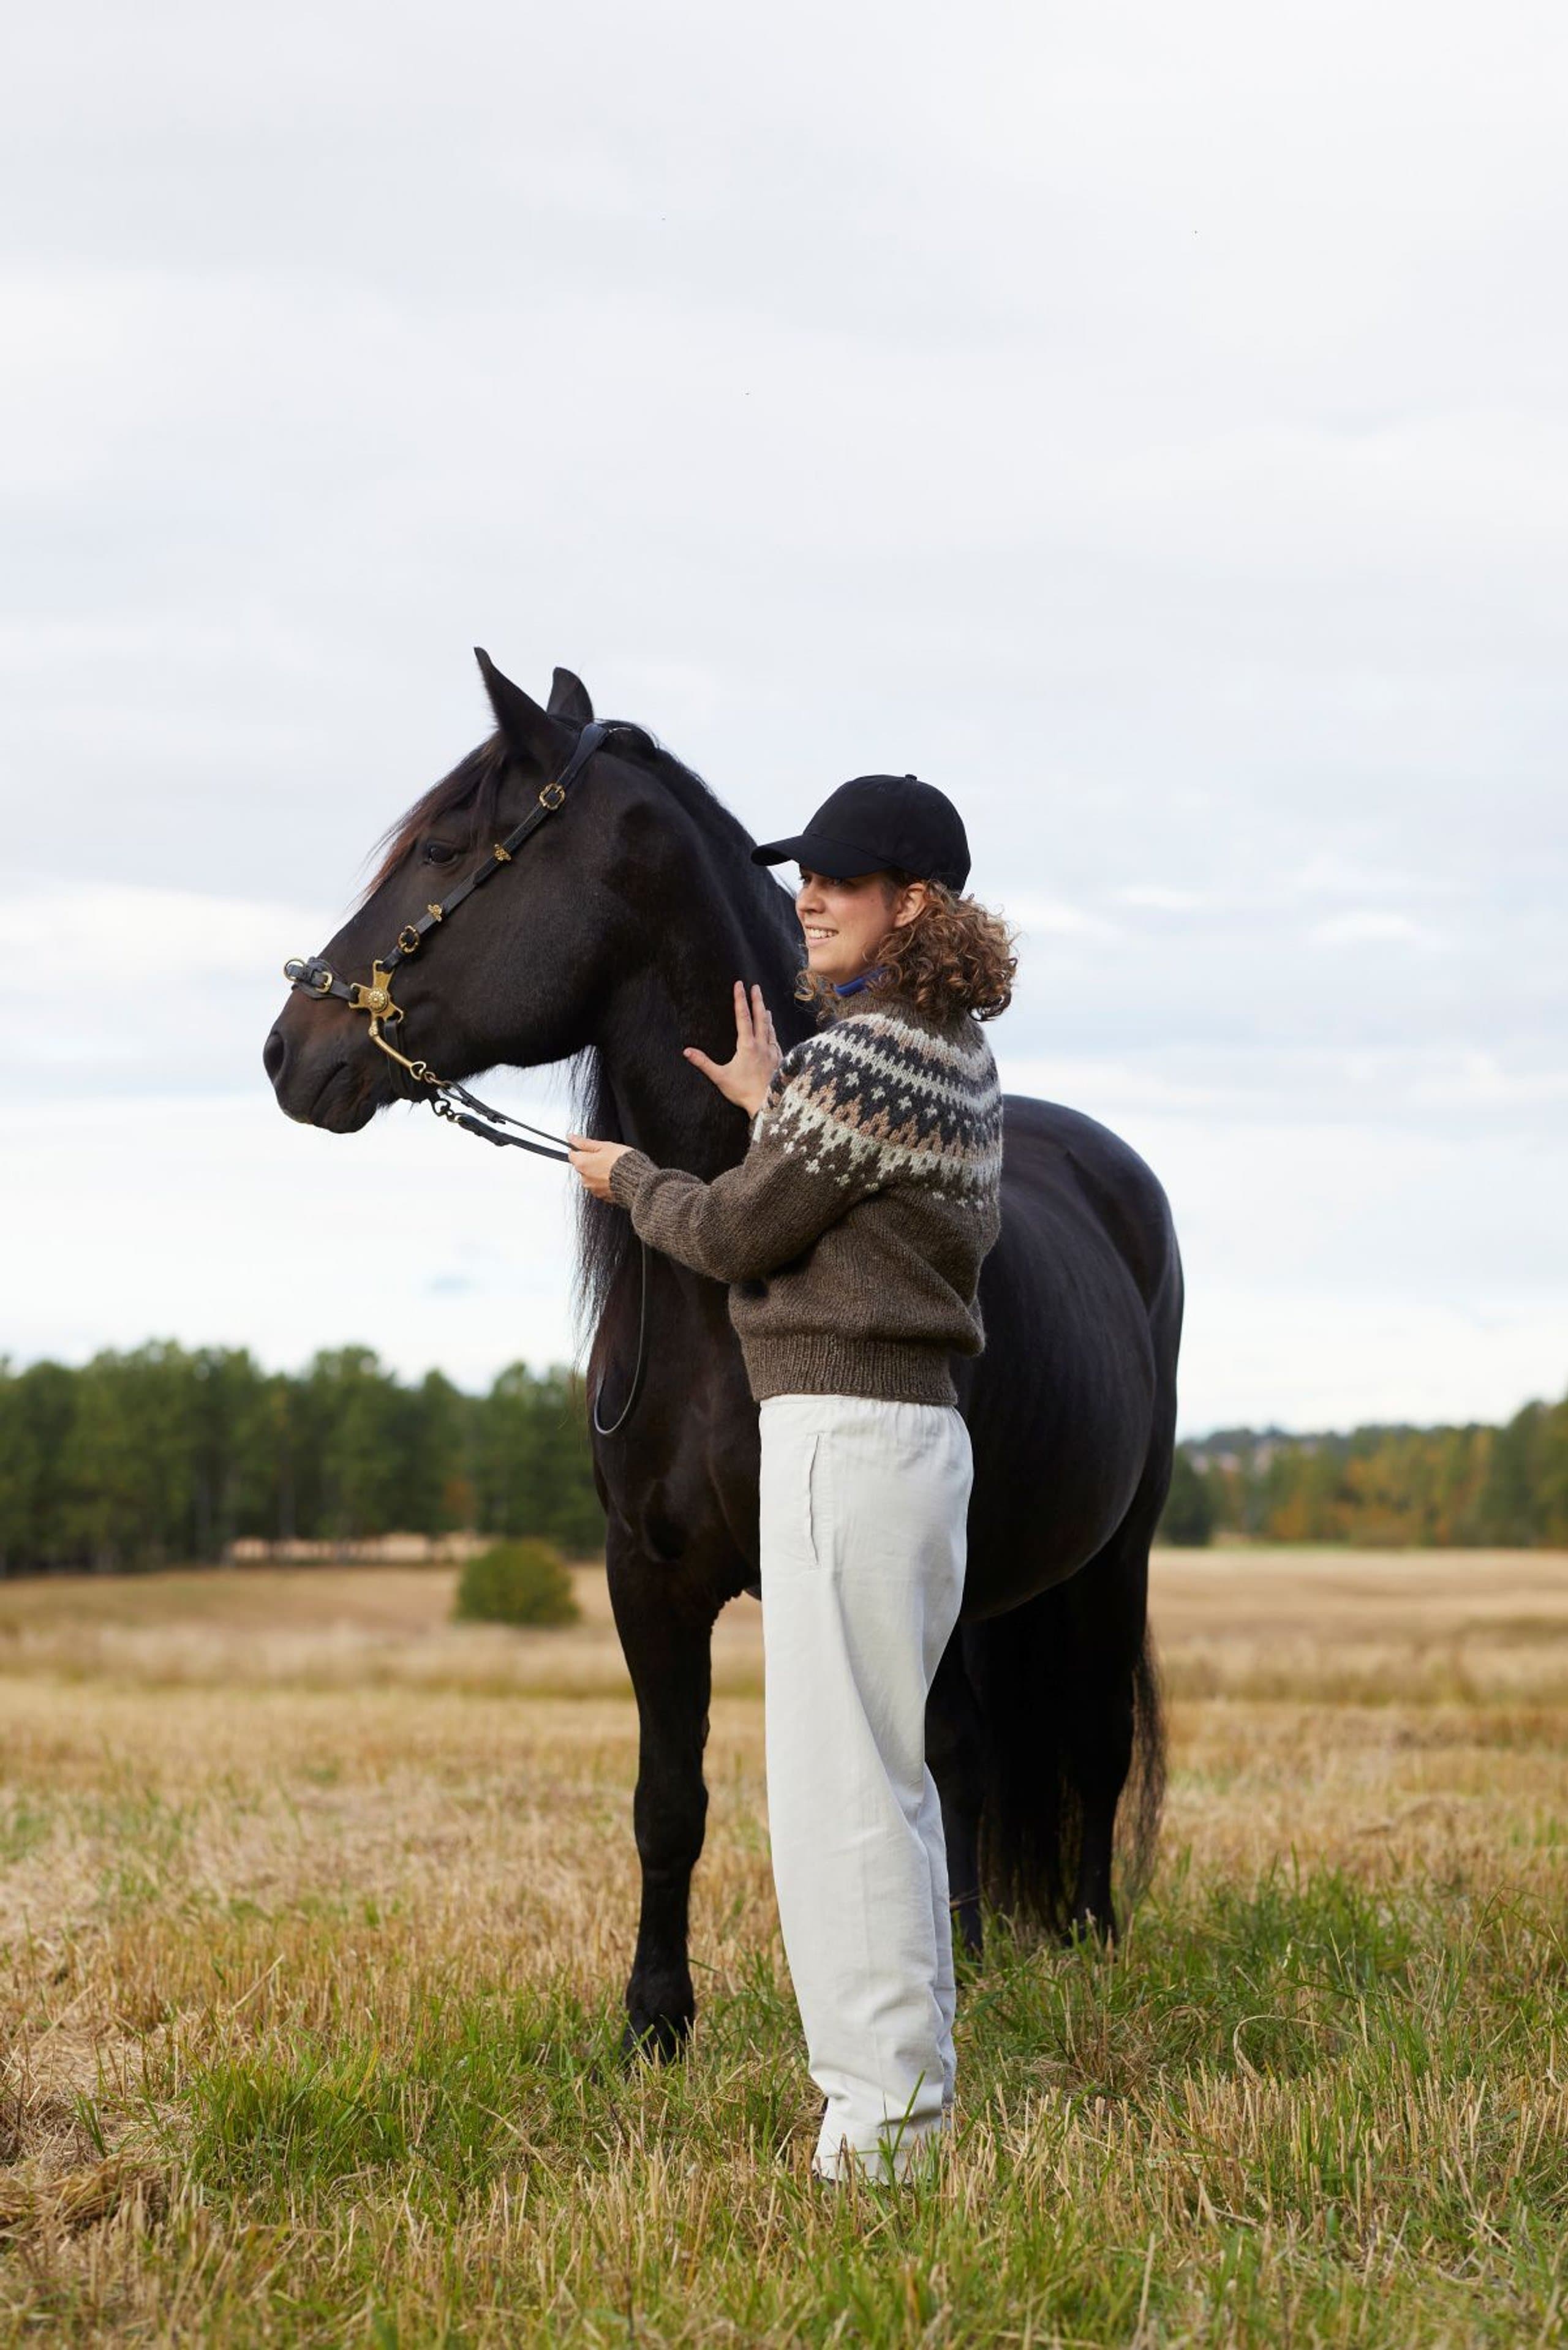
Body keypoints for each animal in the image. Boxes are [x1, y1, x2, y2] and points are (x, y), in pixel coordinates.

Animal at [263, 650, 1182, 2060]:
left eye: (446, 848)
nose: (288, 1051)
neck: (713, 1304)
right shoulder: (646, 1576)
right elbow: (671, 1799)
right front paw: (655, 2023)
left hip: (1112, 1551)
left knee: (1084, 1748)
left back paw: (1085, 1938)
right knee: (977, 1758)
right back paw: (977, 1948)